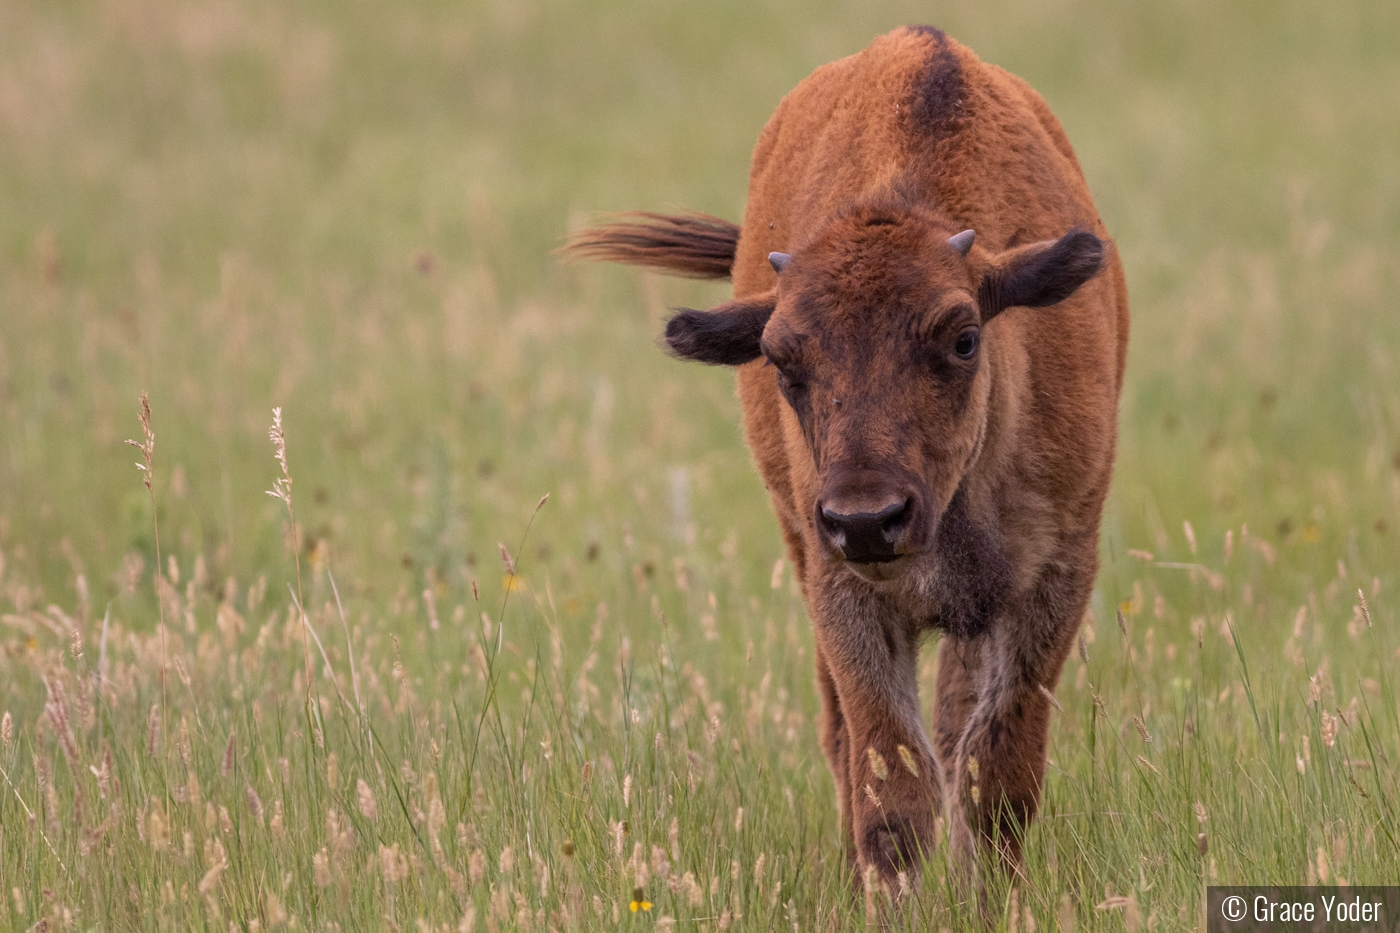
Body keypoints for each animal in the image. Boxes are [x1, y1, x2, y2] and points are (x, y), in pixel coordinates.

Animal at [565, 25, 1125, 885]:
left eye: (964, 336)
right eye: (781, 359)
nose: (866, 518)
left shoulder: (1054, 578)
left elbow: (993, 775)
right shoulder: (845, 593)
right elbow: (891, 784)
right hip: (805, 548)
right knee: (850, 738)